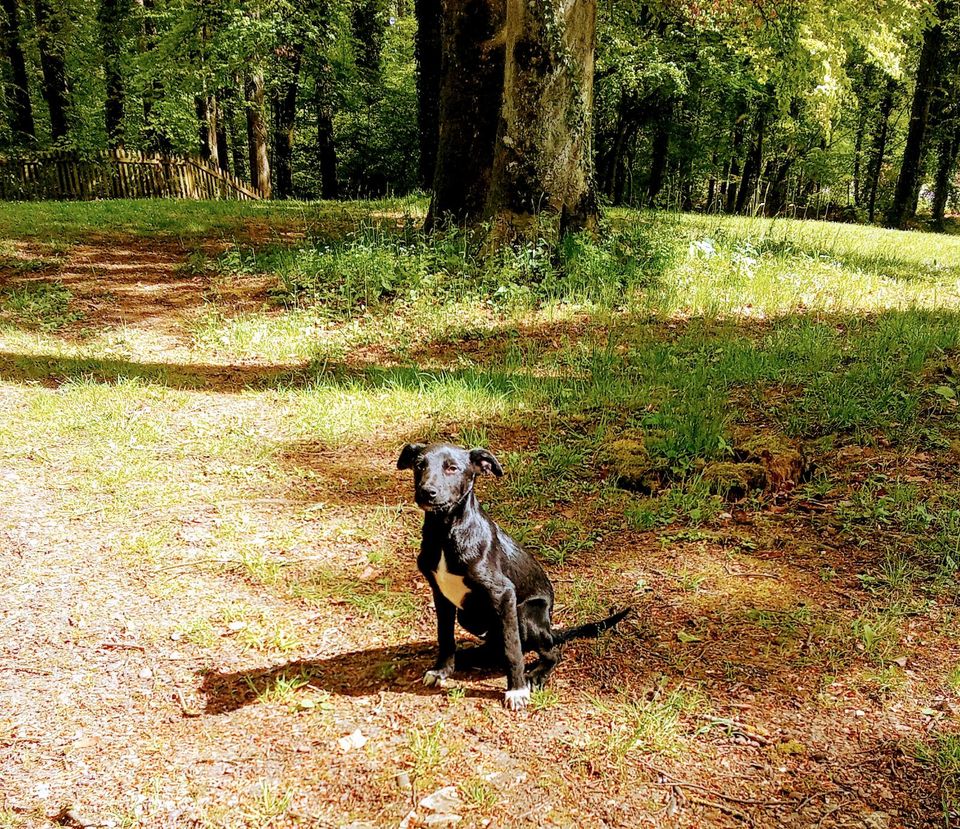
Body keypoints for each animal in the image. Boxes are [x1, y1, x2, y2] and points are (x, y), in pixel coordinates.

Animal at [398, 444, 632, 708]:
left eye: (452, 468)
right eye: (419, 465)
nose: (427, 492)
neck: (446, 531)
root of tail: (551, 629)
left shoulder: (503, 594)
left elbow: (513, 649)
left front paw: (517, 690)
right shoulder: (441, 594)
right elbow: (445, 636)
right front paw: (441, 671)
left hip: (526, 613)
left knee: (551, 652)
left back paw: (535, 675)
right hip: (469, 617)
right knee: (494, 646)